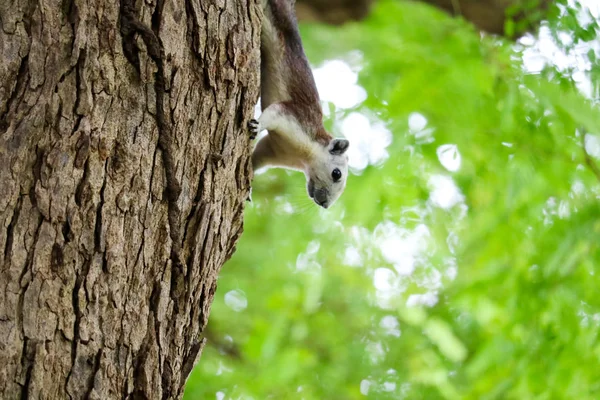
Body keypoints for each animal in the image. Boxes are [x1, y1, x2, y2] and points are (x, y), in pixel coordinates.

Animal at [250, 0, 352, 211]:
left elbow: (257, 158)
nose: (325, 204)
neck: (302, 157)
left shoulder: (273, 150)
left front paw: (247, 186)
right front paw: (257, 125)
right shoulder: (294, 118)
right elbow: (276, 111)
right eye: (336, 173)